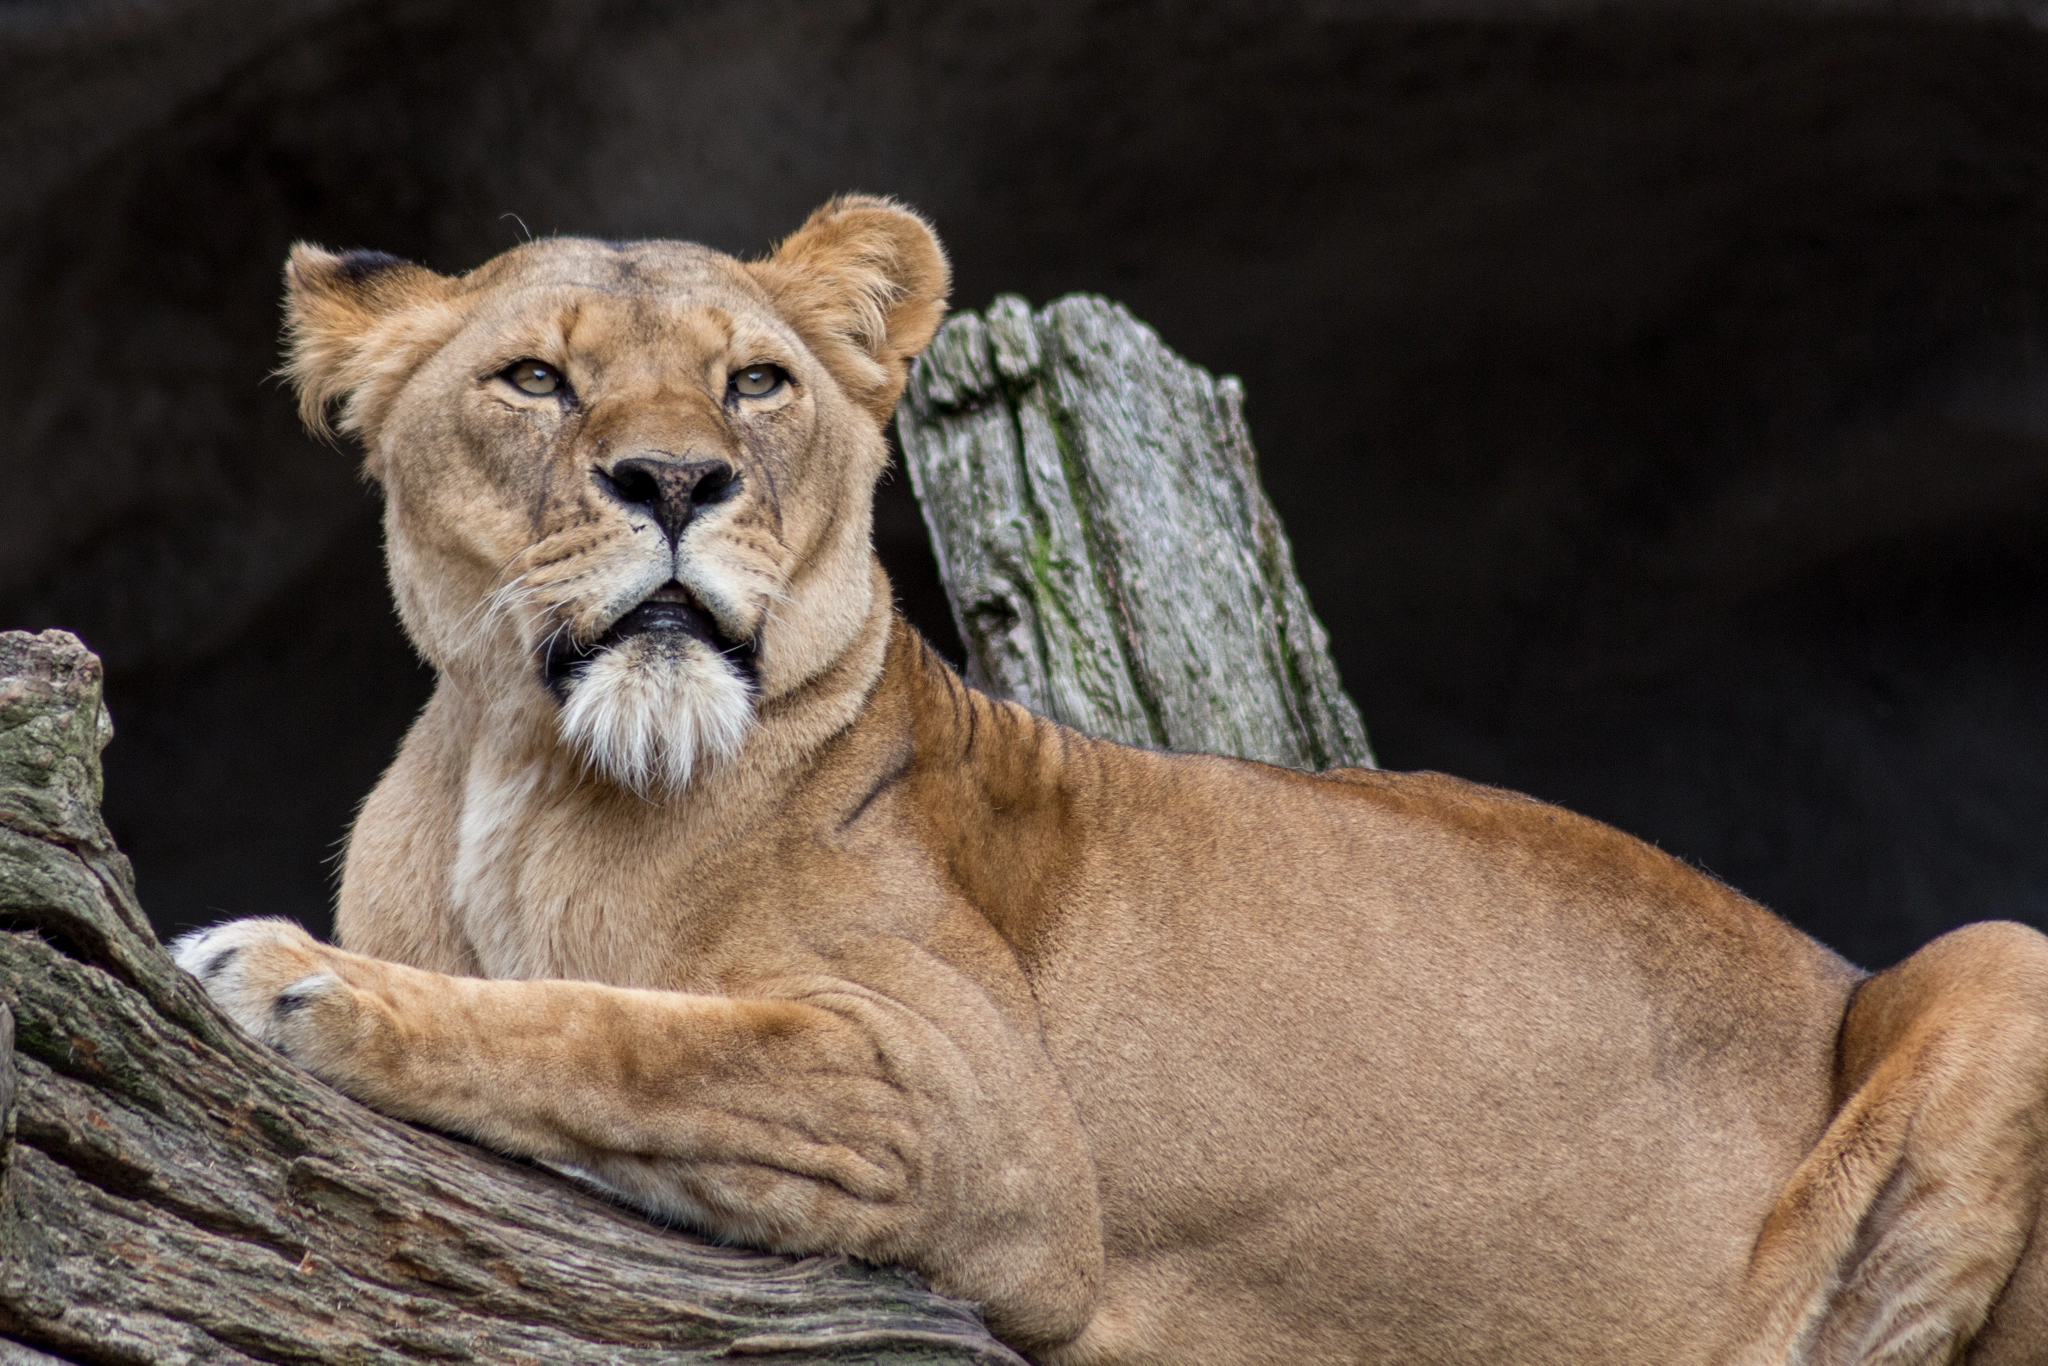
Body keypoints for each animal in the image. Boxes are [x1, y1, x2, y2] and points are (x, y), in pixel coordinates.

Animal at [173, 197, 2048, 1364]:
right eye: (535, 377)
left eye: (754, 381)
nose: (678, 482)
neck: (522, 781)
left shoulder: (971, 1116)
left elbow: (620, 1035)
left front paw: (290, 978)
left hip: (1993, 959)